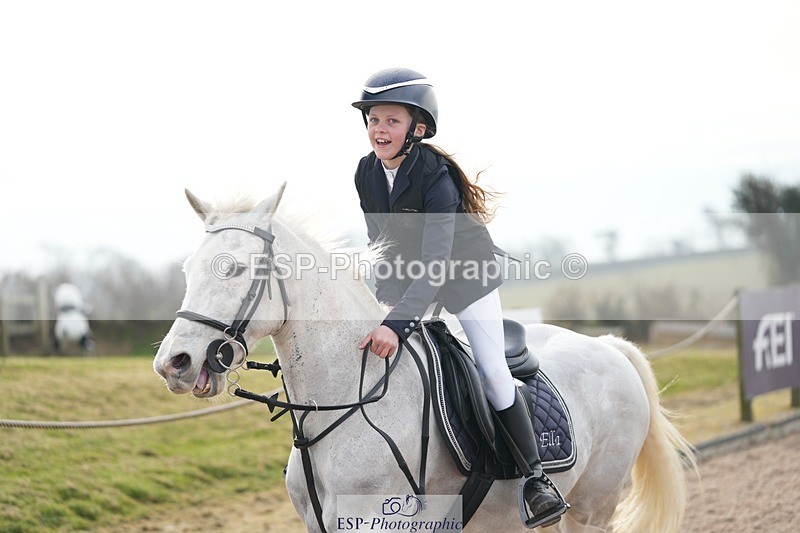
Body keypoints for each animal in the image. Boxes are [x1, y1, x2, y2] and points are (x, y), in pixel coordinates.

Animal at [153, 184, 696, 532]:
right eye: (188, 269)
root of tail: (607, 347)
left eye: (234, 269)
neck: (344, 403)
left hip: (592, 507)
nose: (173, 363)